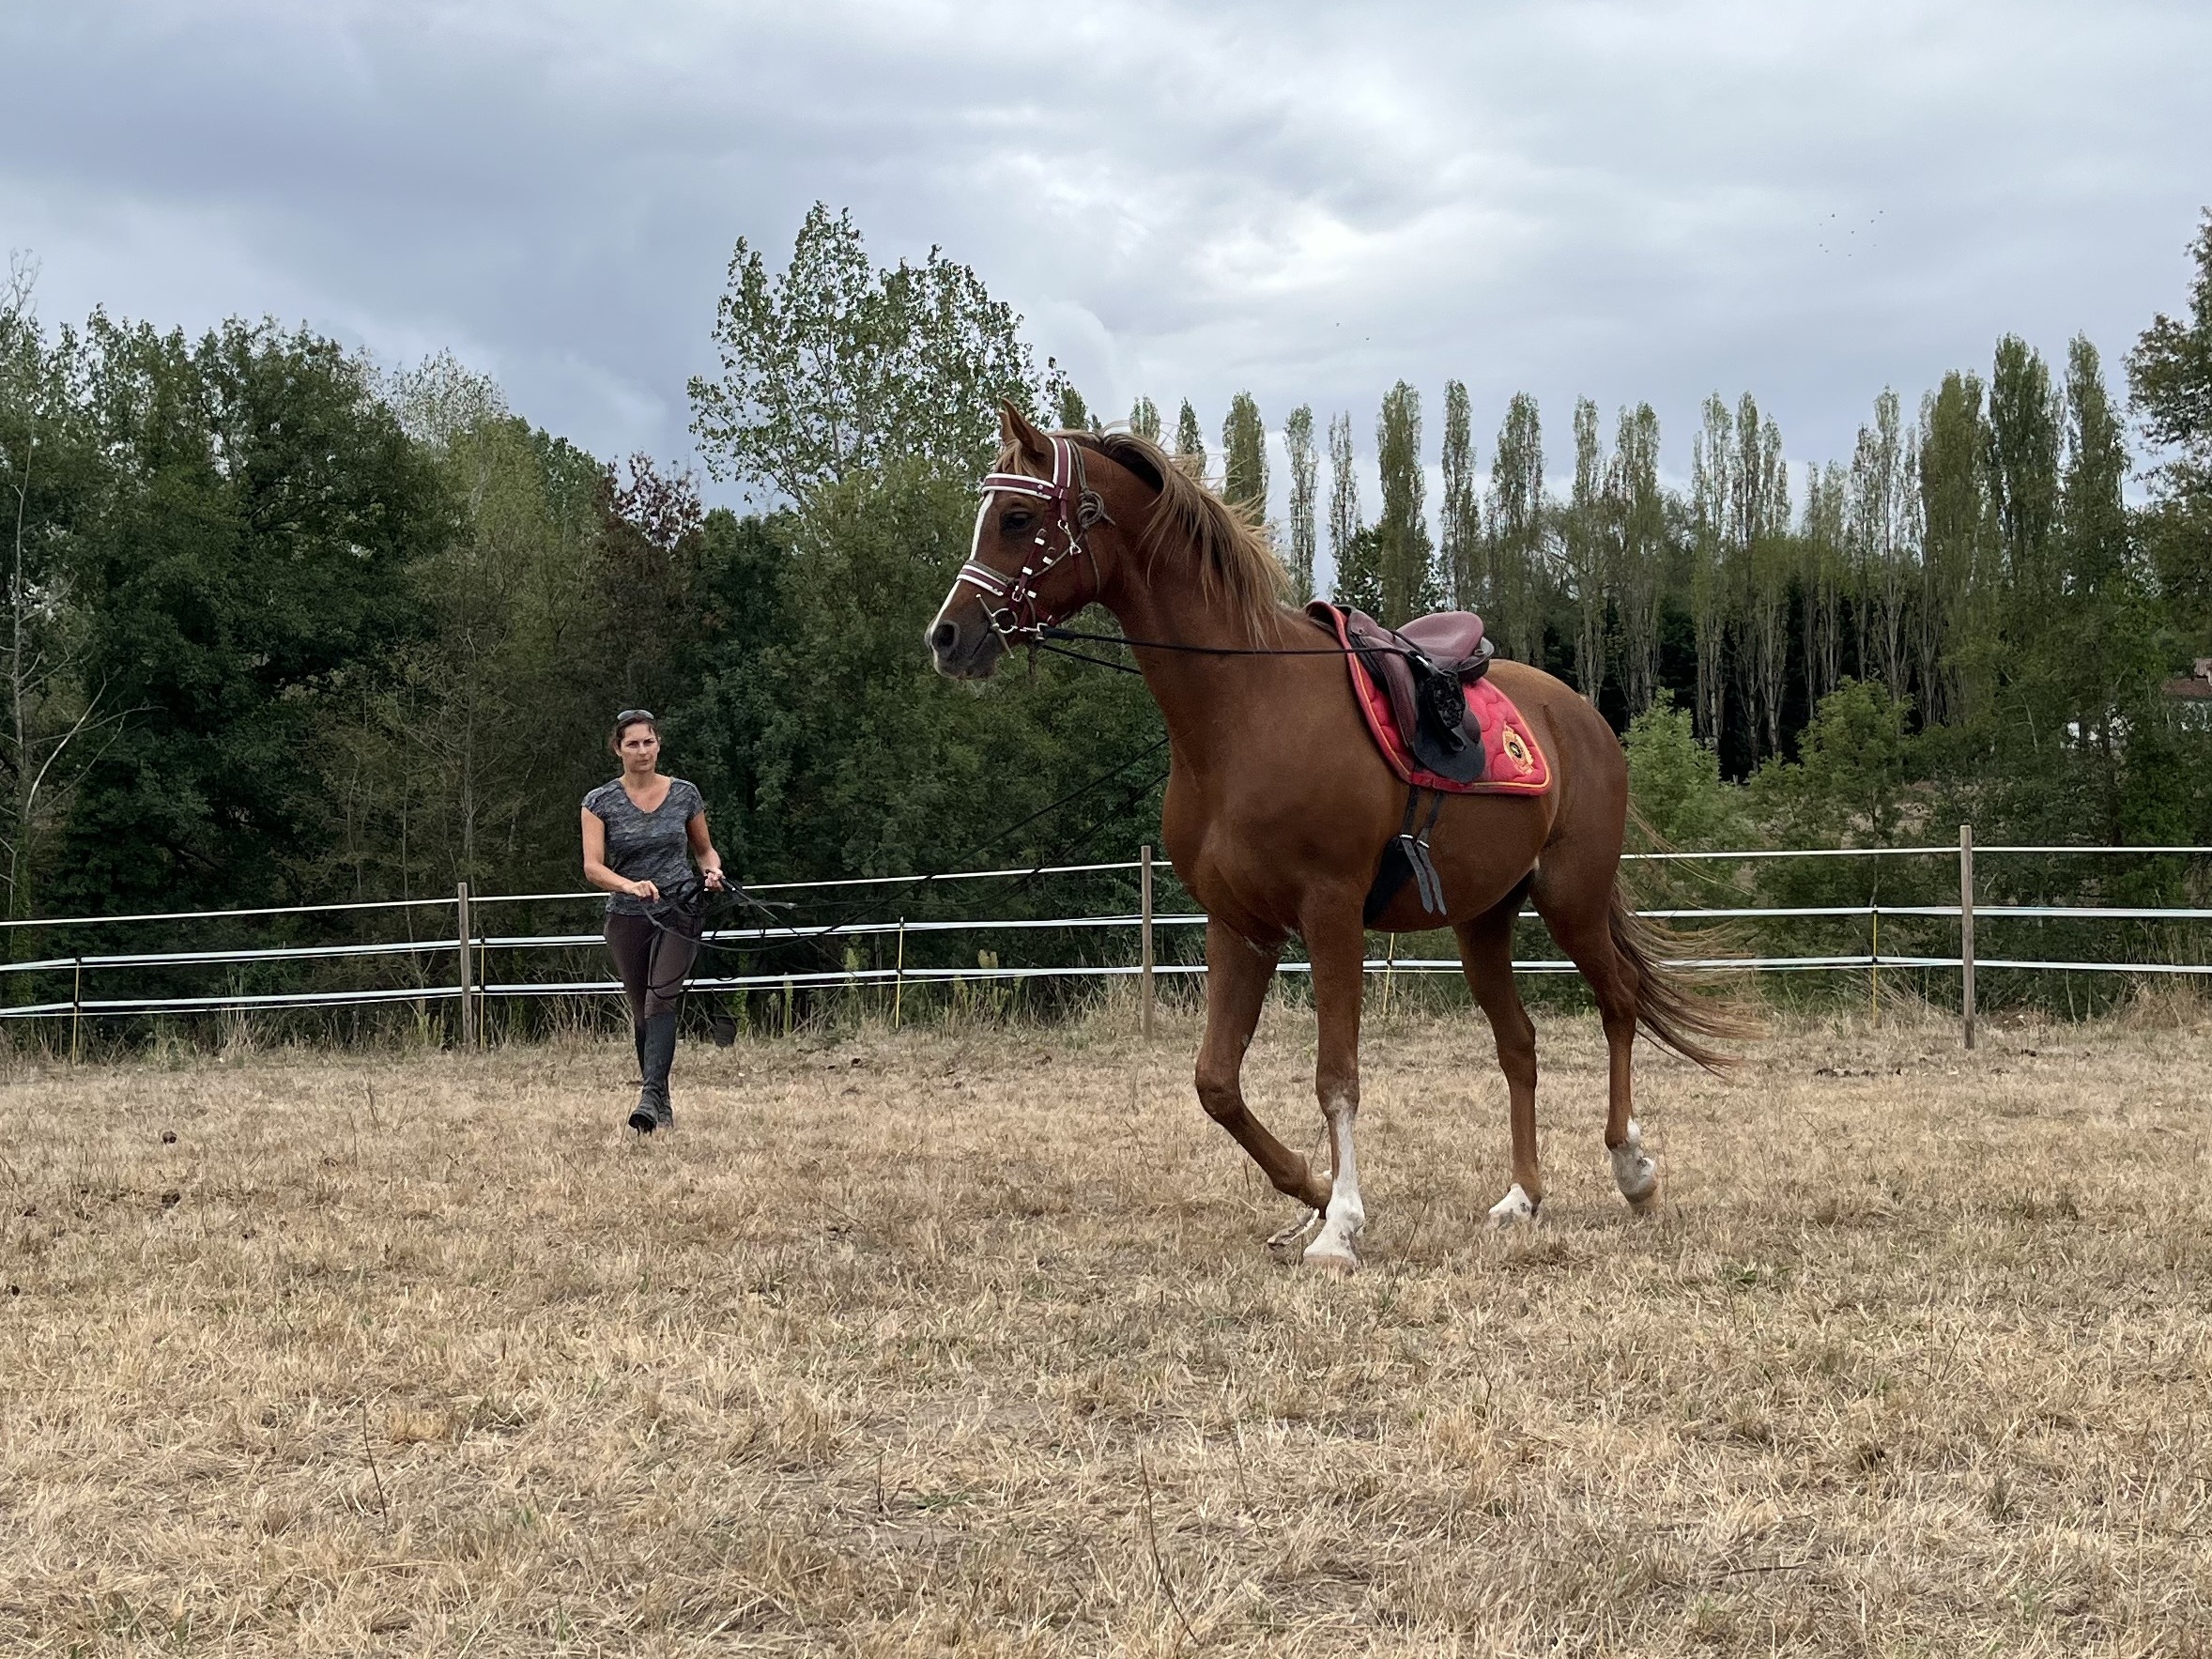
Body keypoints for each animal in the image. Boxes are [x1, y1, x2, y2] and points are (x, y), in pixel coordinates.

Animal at [924, 407, 1734, 1274]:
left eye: (1017, 517)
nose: (946, 636)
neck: (1243, 705)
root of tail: (1583, 716)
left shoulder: (1331, 913)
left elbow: (1337, 1075)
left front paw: (1340, 1223)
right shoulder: (1239, 925)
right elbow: (1216, 1082)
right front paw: (1310, 1191)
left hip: (1571, 900)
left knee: (1619, 1005)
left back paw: (1633, 1167)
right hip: (1483, 921)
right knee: (1519, 1043)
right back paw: (1522, 1195)